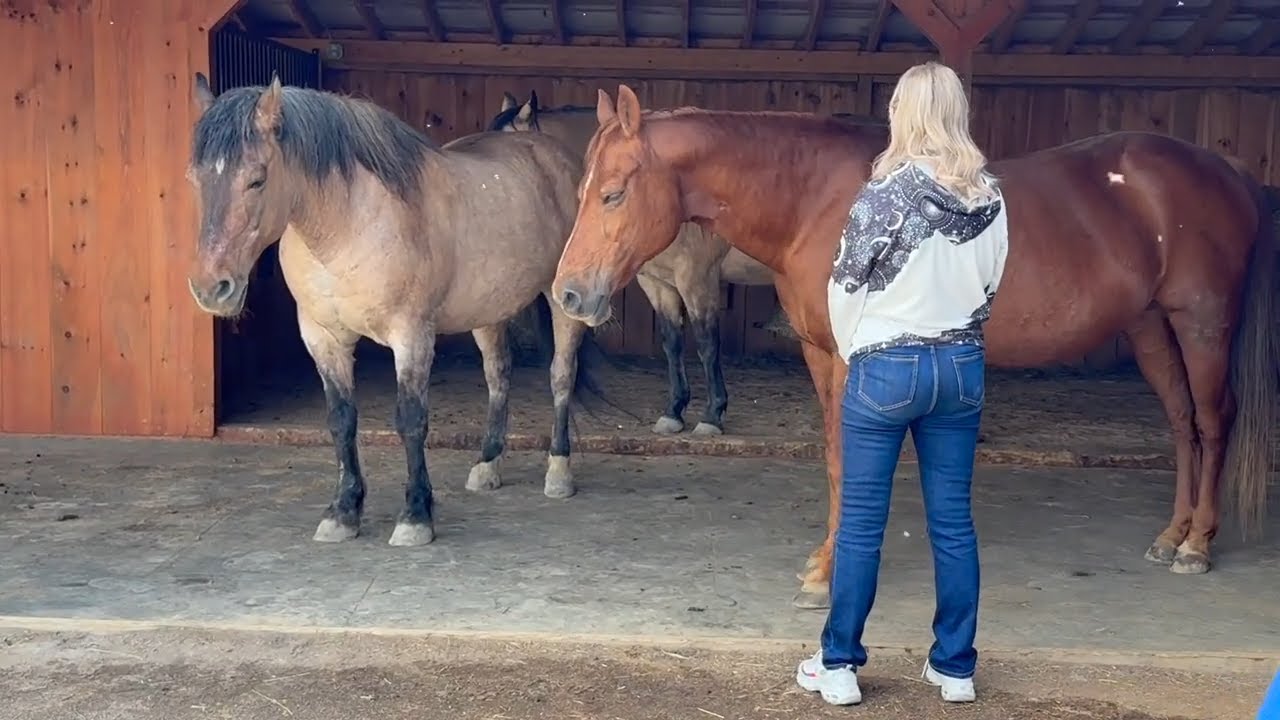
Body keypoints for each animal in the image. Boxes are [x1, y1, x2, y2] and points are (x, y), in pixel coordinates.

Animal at [185, 73, 600, 548]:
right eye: (195, 179)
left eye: (257, 180)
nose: (212, 289)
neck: (348, 226)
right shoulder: (322, 337)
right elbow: (341, 420)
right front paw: (343, 511)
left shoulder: (411, 336)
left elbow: (411, 420)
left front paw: (415, 516)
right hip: (488, 311)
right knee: (499, 375)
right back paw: (487, 465)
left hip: (562, 303)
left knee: (561, 377)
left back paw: (558, 471)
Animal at [490, 90, 885, 437]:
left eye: (612, 195)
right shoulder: (656, 281)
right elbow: (672, 340)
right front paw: (674, 409)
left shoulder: (697, 278)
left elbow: (707, 342)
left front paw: (712, 414)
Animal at [552, 85, 1278, 609]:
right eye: (581, 191)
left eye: (613, 193)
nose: (568, 296)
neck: (820, 201)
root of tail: (1229, 171)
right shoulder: (821, 356)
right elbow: (835, 460)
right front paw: (824, 563)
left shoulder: (857, 362)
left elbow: (851, 463)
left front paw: (831, 573)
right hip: (1153, 326)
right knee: (1182, 423)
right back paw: (1171, 536)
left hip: (1202, 323)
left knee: (1212, 422)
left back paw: (1198, 545)